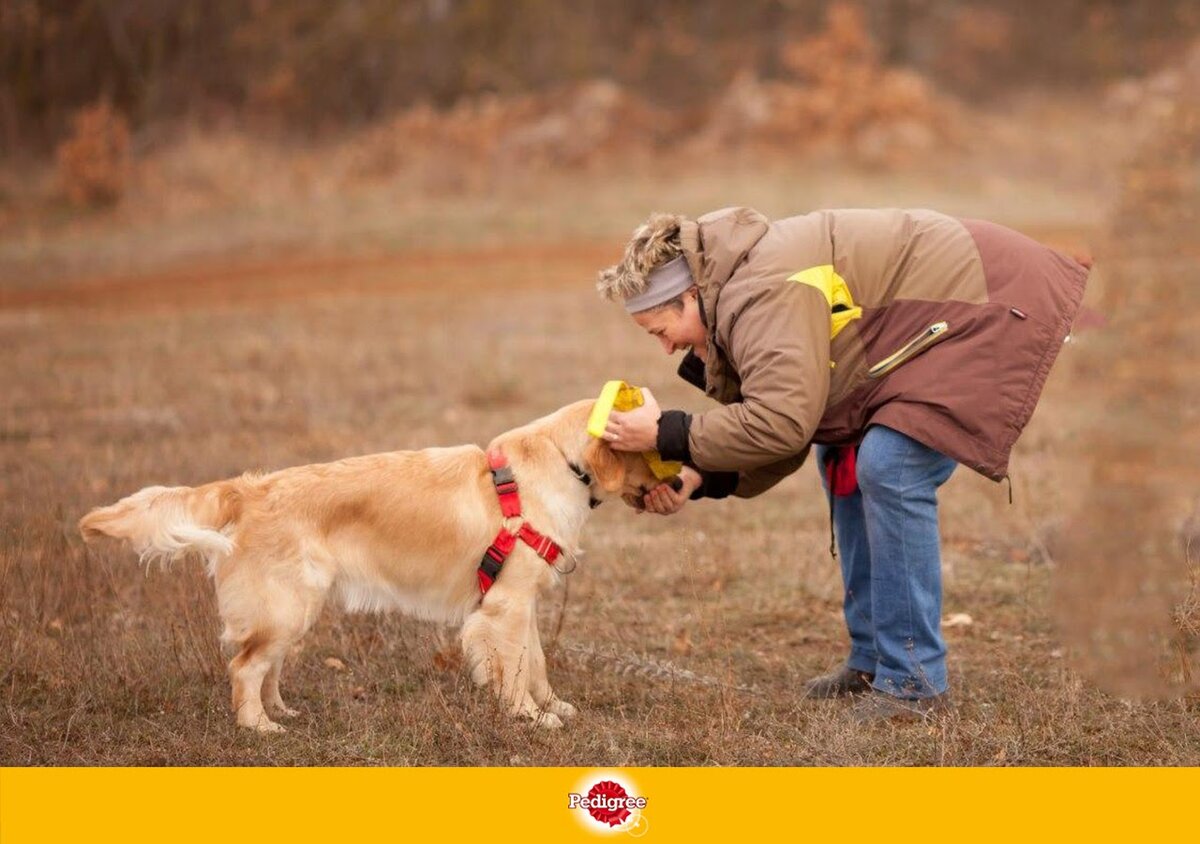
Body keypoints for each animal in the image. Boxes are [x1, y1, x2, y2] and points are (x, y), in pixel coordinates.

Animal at [77, 398, 657, 729]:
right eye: (651, 449)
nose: (674, 480)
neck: (561, 461)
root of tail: (250, 489)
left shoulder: (519, 603)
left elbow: (535, 662)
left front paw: (551, 706)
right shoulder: (506, 606)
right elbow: (515, 669)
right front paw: (530, 717)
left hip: (292, 612)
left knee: (266, 667)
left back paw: (280, 711)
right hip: (287, 607)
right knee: (243, 667)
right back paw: (259, 728)